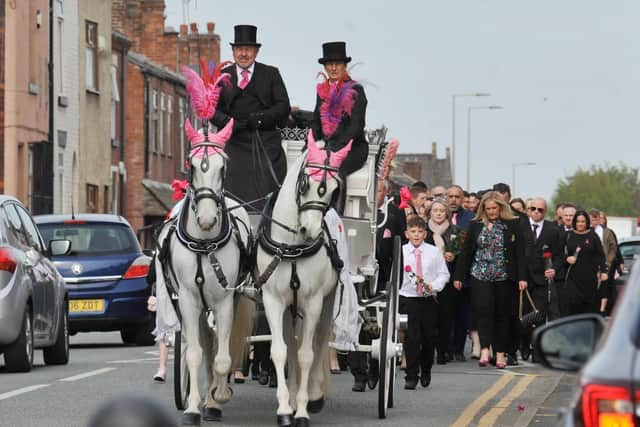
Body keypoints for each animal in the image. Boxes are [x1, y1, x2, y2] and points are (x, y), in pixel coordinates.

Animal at [156, 118, 254, 426]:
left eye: (223, 166)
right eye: (192, 165)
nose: (208, 219)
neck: (204, 242)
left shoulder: (224, 302)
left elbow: (222, 357)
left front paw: (218, 396)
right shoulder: (189, 301)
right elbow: (195, 354)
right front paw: (192, 408)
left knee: (217, 347)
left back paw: (214, 398)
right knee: (203, 345)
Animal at [256, 132, 356, 426]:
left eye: (334, 189)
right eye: (305, 183)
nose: (309, 230)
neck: (292, 247)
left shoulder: (312, 302)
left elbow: (306, 354)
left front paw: (301, 409)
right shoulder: (273, 300)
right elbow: (280, 351)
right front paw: (284, 408)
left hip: (327, 301)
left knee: (320, 342)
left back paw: (314, 395)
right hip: (291, 307)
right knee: (292, 344)